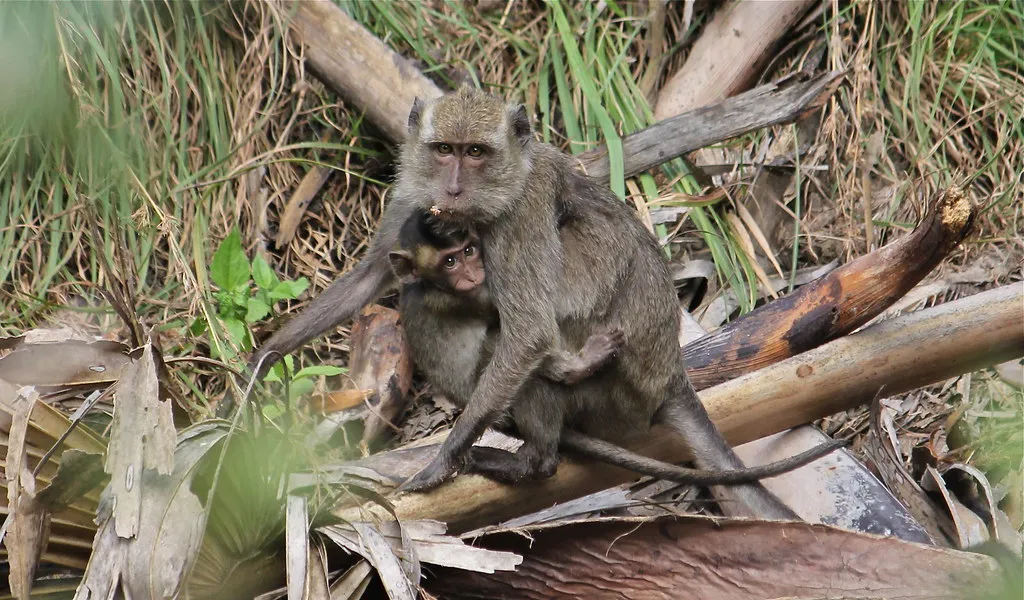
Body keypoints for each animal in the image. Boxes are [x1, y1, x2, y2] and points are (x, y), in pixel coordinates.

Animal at [388, 207, 847, 488]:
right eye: (450, 260)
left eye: (468, 250)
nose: (471, 270)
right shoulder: (469, 292)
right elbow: (527, 337)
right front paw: (443, 460)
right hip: (604, 402)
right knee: (524, 367)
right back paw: (535, 456)